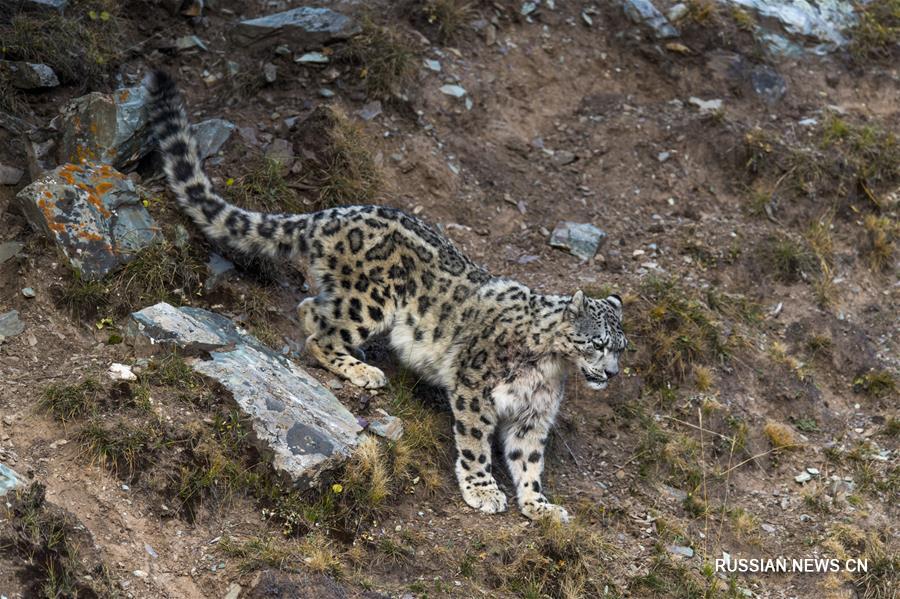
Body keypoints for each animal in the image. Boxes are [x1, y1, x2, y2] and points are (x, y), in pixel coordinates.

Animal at [148, 69, 624, 520]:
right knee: (320, 331)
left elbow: (528, 462)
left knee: (310, 307)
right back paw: (363, 371)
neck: (549, 367)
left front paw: (540, 506)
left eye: (621, 348)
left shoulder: (533, 416)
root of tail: (326, 214)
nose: (613, 373)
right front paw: (483, 491)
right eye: (598, 343)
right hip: (370, 301)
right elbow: (475, 442)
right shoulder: (474, 387)